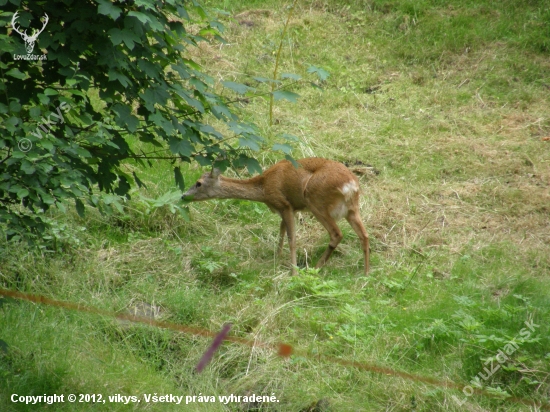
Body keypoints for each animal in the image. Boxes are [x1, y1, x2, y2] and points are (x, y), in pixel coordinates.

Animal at [184, 157, 370, 274]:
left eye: (198, 183)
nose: (183, 195)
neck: (263, 188)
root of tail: (350, 185)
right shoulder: (289, 208)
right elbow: (281, 230)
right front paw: (278, 258)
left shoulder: (284, 204)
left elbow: (292, 239)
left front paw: (293, 272)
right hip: (352, 209)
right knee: (364, 235)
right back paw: (366, 273)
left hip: (316, 201)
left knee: (336, 234)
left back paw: (315, 269)